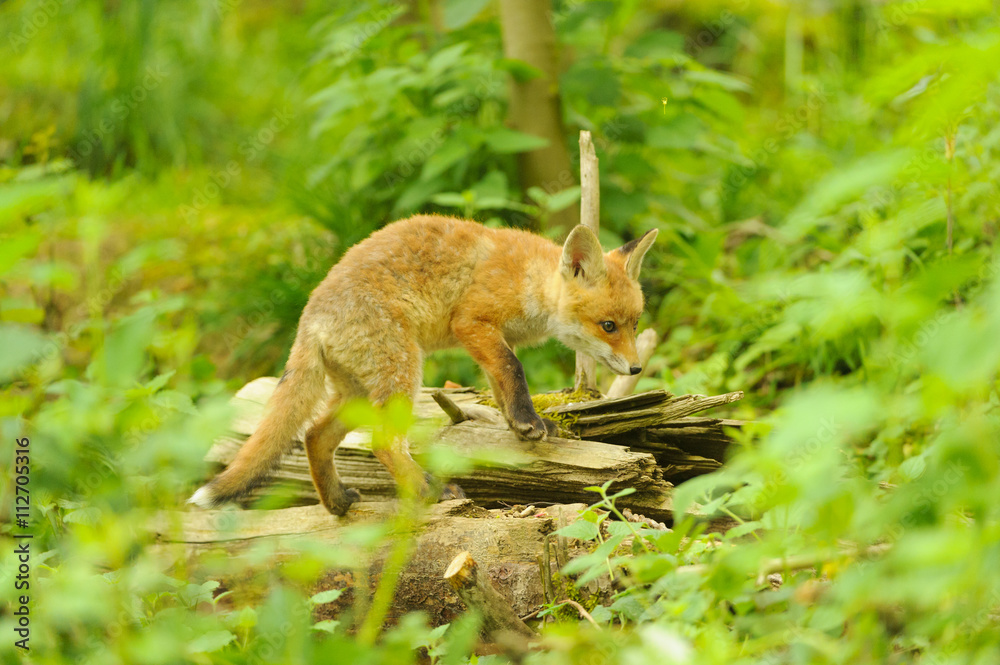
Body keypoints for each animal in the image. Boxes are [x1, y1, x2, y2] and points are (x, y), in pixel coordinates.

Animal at [189, 215, 657, 516]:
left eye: (635, 324)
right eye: (608, 325)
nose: (636, 370)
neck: (527, 279)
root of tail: (310, 317)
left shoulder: (490, 339)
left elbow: (501, 384)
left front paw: (520, 424)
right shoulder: (473, 323)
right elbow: (513, 370)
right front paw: (527, 422)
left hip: (359, 392)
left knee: (314, 435)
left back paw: (336, 502)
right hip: (403, 371)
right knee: (381, 443)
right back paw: (430, 490)